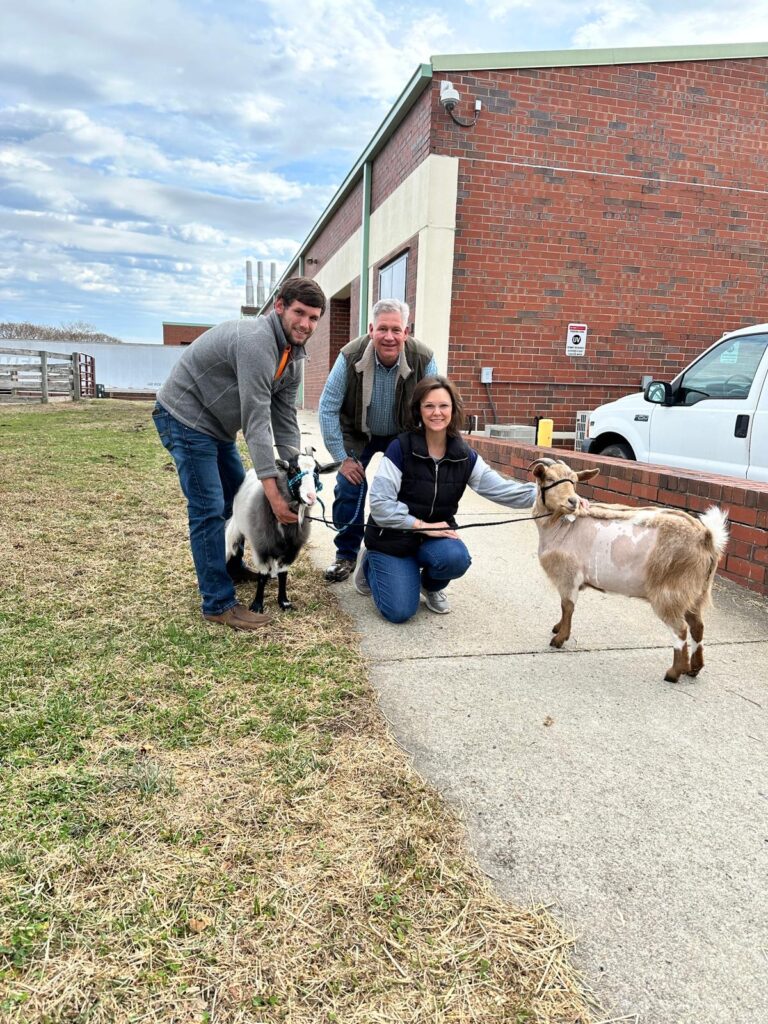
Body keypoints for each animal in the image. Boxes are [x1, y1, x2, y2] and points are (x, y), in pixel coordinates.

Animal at [225, 446, 339, 606]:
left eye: (317, 471)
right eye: (293, 470)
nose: (311, 497)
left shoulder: (292, 550)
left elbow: (283, 573)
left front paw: (284, 601)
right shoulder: (261, 548)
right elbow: (262, 575)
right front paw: (257, 605)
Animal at [532, 460, 729, 684]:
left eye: (574, 481)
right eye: (549, 478)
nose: (573, 501)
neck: (561, 526)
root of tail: (706, 536)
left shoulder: (569, 577)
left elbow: (567, 608)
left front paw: (559, 639)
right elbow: (565, 609)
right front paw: (557, 628)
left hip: (670, 591)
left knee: (680, 629)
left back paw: (673, 673)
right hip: (694, 592)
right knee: (697, 626)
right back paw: (694, 668)